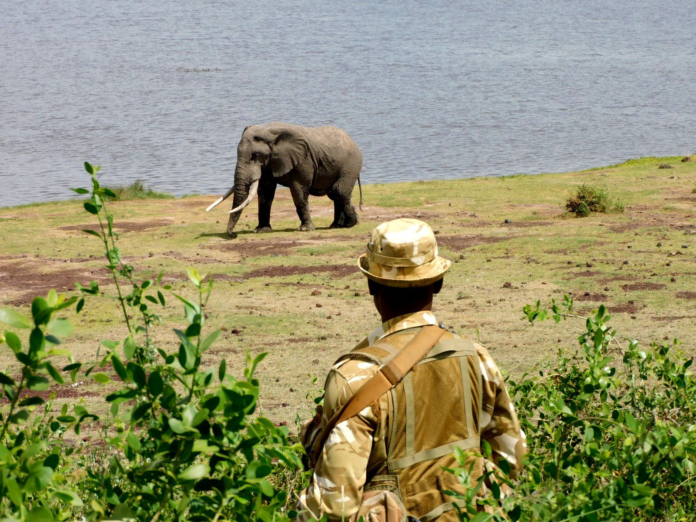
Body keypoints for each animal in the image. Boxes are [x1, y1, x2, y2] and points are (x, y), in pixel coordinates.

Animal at [207, 123, 363, 238]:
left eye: (255, 156)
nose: (233, 235)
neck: (269, 132)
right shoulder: (269, 163)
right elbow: (266, 193)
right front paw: (261, 230)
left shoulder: (303, 161)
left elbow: (298, 190)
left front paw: (305, 229)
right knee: (335, 193)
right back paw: (337, 225)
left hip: (350, 165)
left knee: (338, 192)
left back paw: (351, 223)